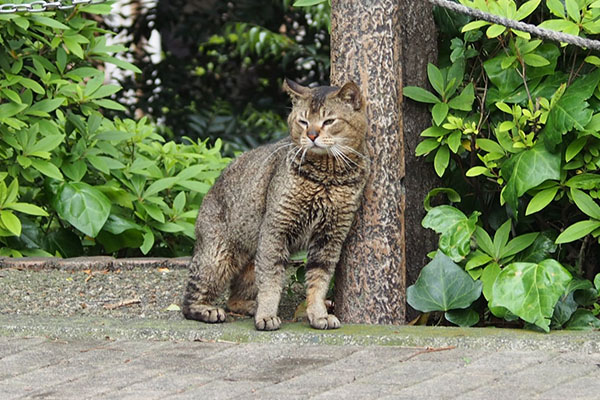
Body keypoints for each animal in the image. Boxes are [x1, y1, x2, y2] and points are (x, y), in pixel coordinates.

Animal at [182, 78, 370, 332]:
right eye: (303, 121)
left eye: (329, 121)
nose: (312, 135)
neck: (326, 178)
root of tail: (210, 189)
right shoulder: (275, 230)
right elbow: (271, 281)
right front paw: (267, 315)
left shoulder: (329, 237)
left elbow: (319, 281)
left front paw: (318, 314)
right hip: (217, 258)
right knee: (190, 300)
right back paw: (208, 310)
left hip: (250, 263)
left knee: (234, 299)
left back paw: (249, 306)